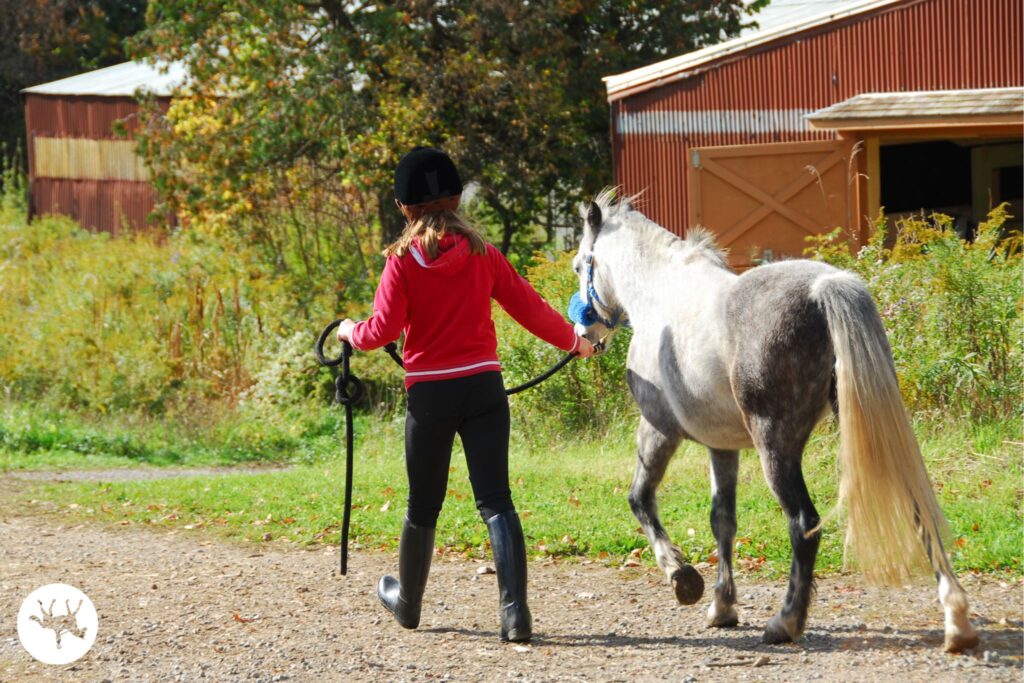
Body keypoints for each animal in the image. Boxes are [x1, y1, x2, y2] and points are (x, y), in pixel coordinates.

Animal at [573, 189, 978, 655]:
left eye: (580, 264)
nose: (584, 336)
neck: (662, 294)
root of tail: (825, 287)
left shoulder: (657, 430)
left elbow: (640, 498)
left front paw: (682, 577)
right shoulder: (722, 447)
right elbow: (722, 520)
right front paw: (722, 606)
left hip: (776, 447)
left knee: (803, 524)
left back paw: (785, 622)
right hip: (874, 433)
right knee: (915, 507)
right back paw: (956, 621)